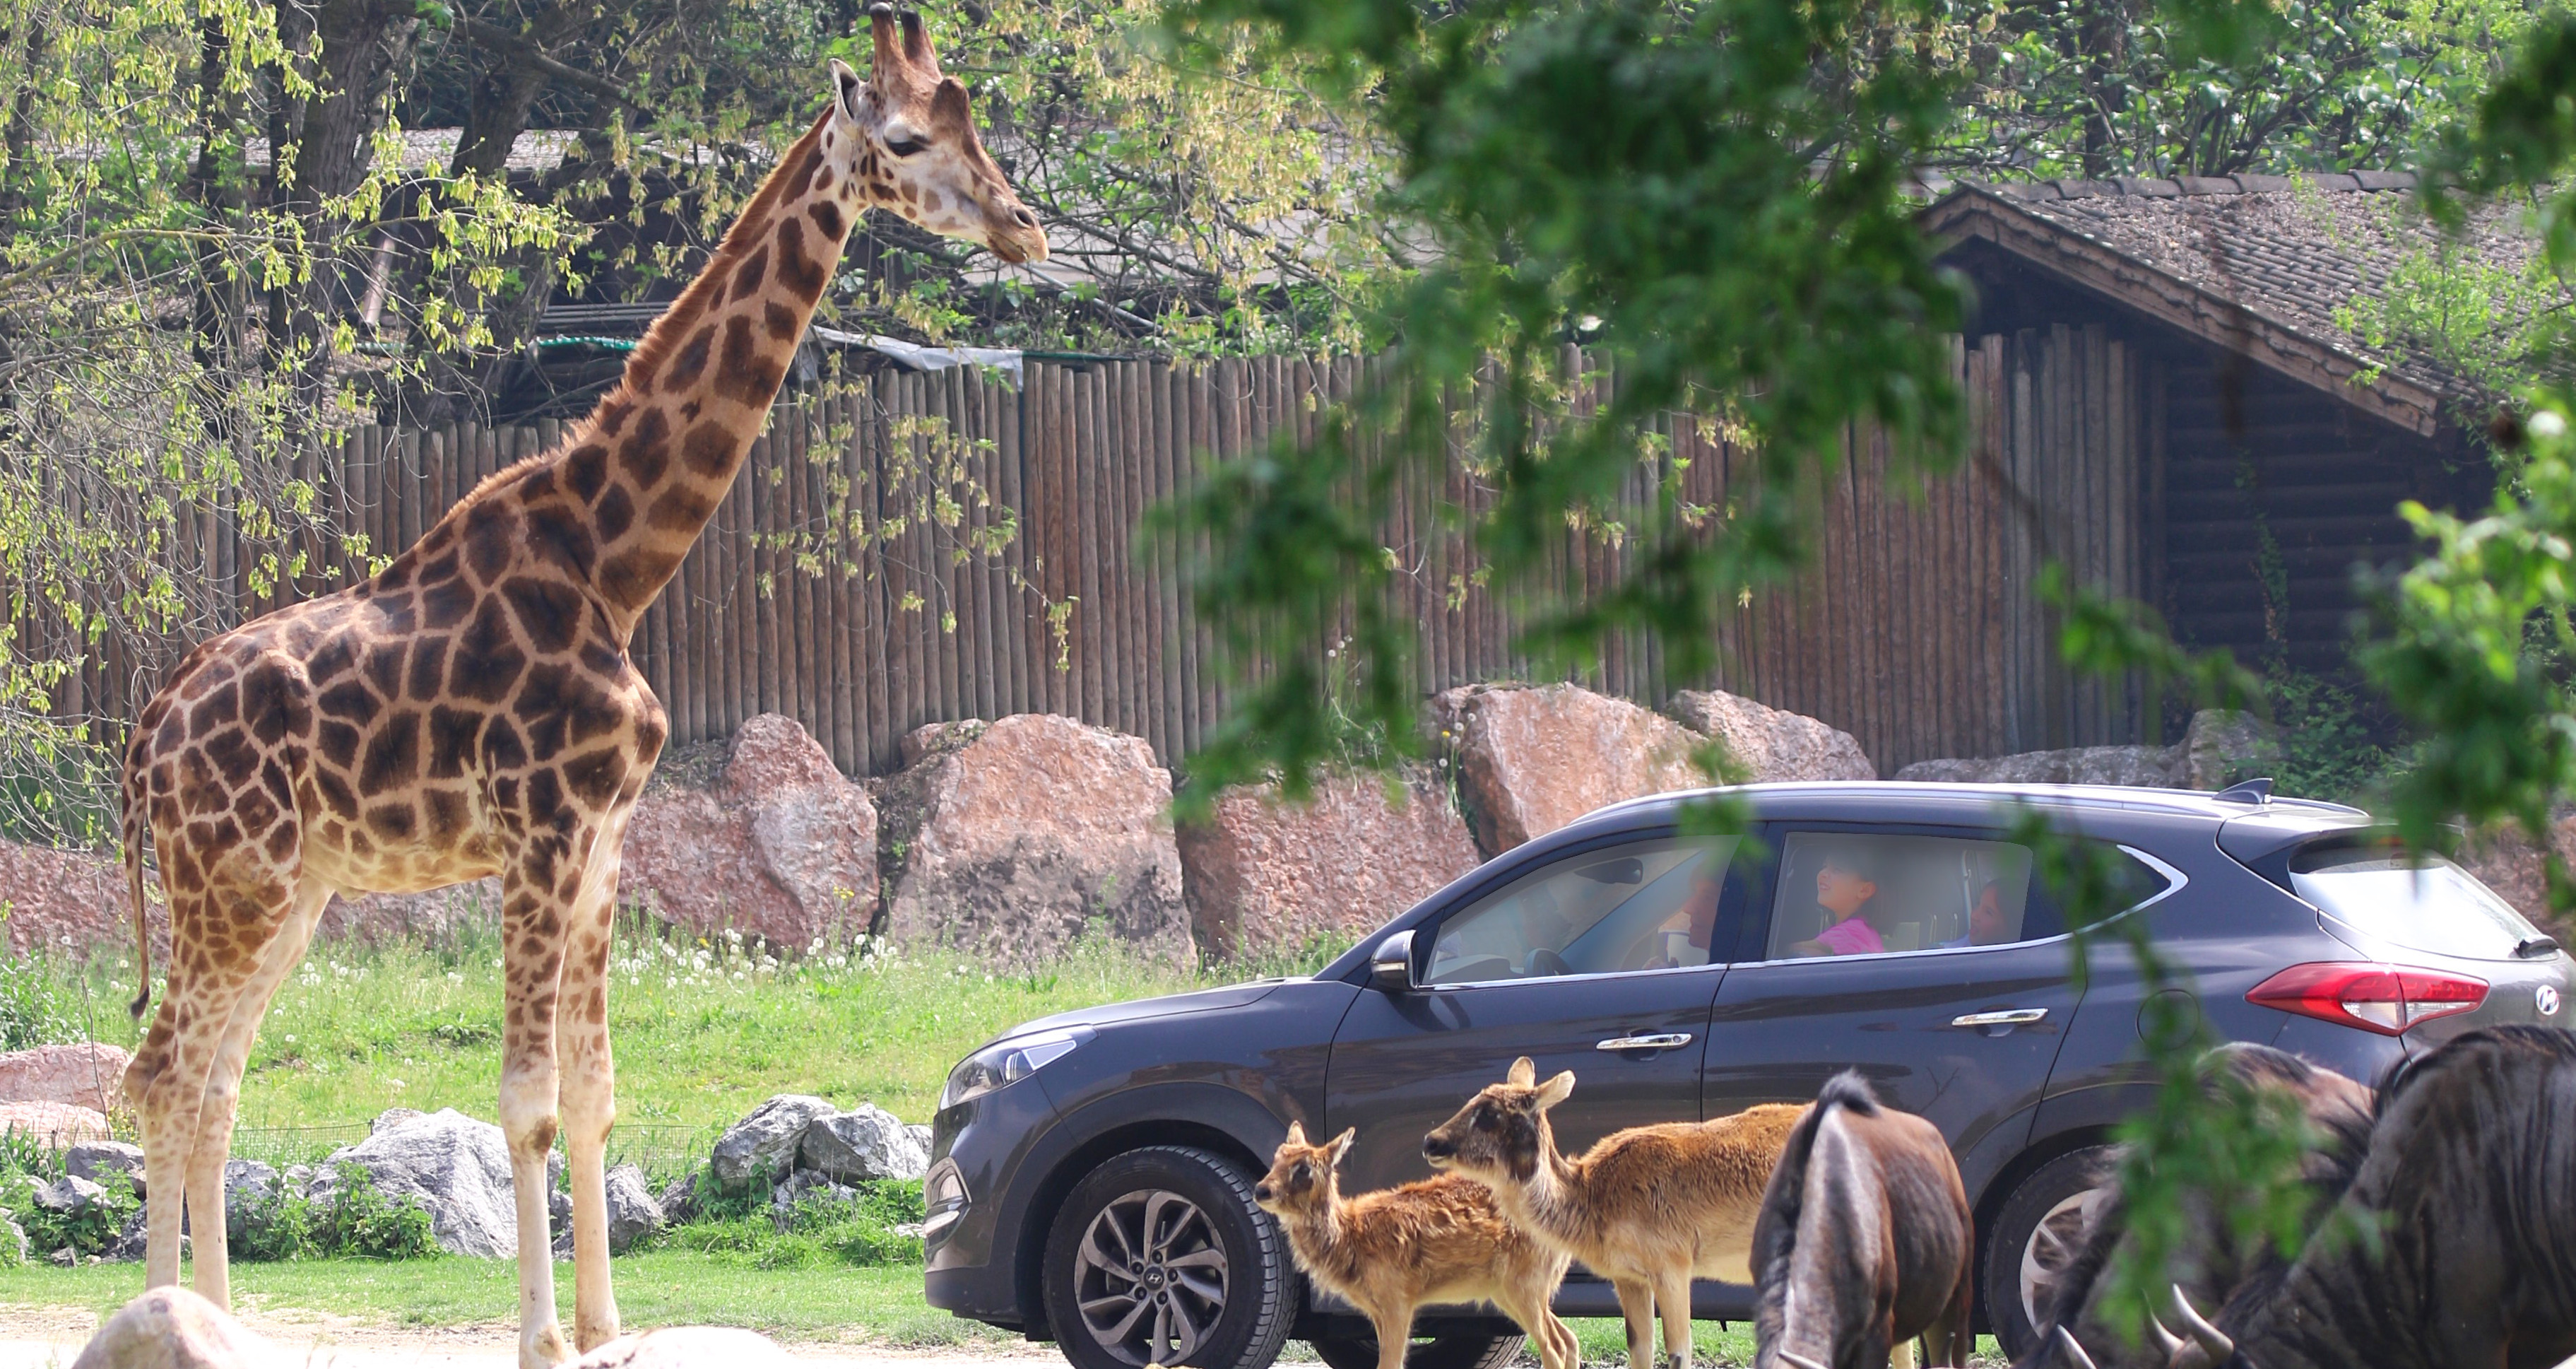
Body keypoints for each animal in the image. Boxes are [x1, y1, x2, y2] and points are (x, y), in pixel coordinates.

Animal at [110, 13, 1035, 1369]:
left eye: (978, 126)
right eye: (911, 139)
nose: (1023, 227)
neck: (615, 558)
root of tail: (146, 738)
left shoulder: (603, 838)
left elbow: (595, 1095)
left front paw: (606, 1326)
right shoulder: (539, 831)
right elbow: (528, 1103)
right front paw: (546, 1338)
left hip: (285, 890)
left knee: (213, 1077)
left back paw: (215, 1320)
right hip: (233, 879)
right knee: (163, 1073)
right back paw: (160, 1315)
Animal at [1257, 1119, 1576, 1369]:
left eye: (1304, 1169)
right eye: (1276, 1159)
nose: (1261, 1190)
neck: (1352, 1238)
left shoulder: (1397, 1298)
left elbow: (1390, 1364)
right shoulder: (1377, 1309)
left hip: (1526, 1281)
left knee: (1554, 1347)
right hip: (1509, 1290)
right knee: (1569, 1339)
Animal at [1422, 1062, 1803, 1369]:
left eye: (1489, 1113)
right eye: (1472, 1100)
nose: (1431, 1141)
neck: (1596, 1199)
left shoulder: (1673, 1265)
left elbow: (1678, 1353)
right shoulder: (1628, 1277)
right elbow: (1640, 1349)